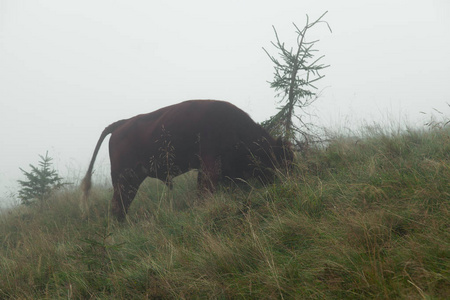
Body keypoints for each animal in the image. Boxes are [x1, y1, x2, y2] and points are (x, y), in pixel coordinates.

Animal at [81, 100, 292, 220]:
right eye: (283, 158)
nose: (287, 180)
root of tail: (120, 125)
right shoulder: (210, 166)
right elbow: (205, 191)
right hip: (125, 179)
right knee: (118, 205)